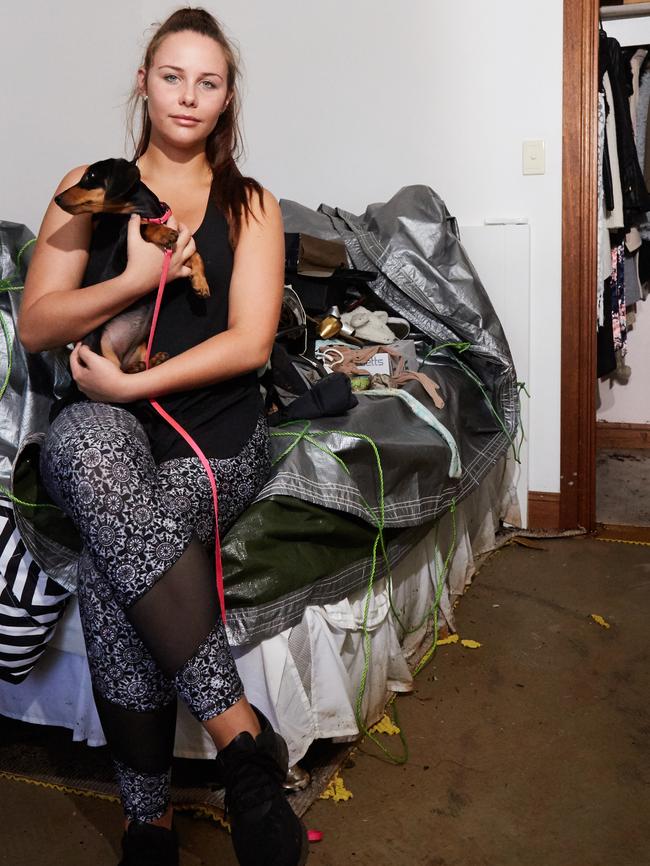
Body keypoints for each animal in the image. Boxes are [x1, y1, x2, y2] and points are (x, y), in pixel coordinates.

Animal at [55, 159, 209, 372]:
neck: (150, 214)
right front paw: (162, 232)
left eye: (90, 176)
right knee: (120, 371)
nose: (57, 199)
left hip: (141, 347)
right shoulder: (126, 244)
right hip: (102, 350)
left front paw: (200, 284)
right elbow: (146, 227)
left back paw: (153, 361)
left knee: (140, 368)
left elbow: (196, 256)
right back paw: (136, 366)